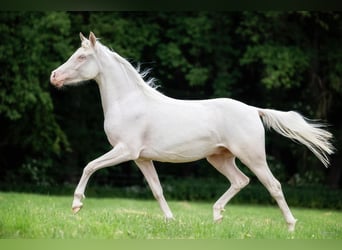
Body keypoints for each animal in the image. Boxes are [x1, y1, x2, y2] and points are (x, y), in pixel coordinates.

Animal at [49, 32, 332, 231]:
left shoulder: (125, 151)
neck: (129, 102)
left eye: (82, 57)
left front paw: (76, 204)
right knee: (240, 180)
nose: (54, 76)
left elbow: (89, 166)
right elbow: (157, 190)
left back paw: (291, 227)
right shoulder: (142, 158)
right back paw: (217, 216)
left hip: (253, 157)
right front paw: (171, 220)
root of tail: (254, 110)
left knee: (273, 185)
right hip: (219, 158)